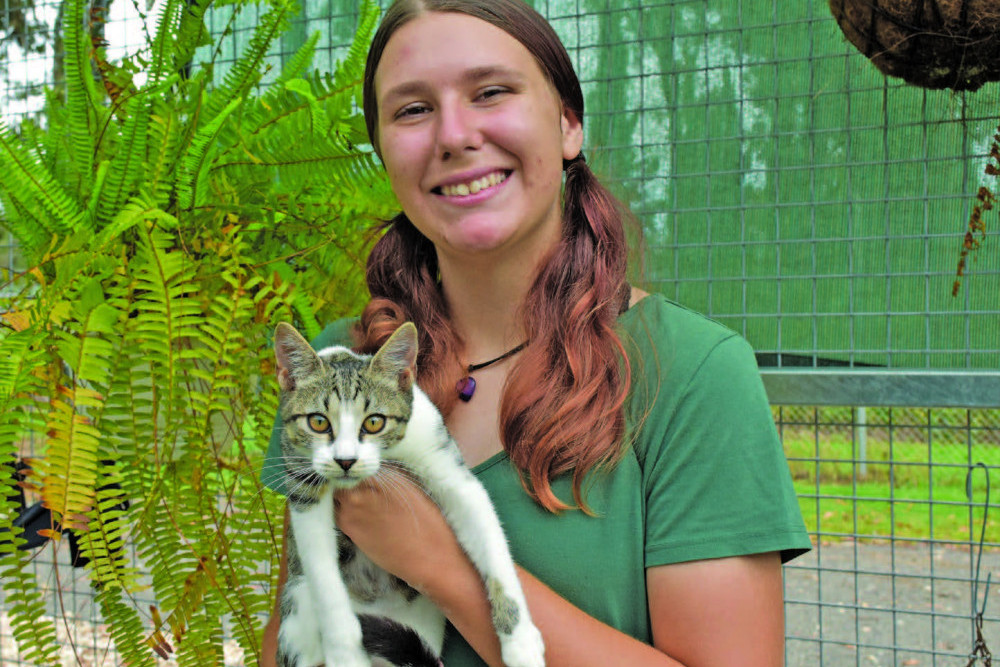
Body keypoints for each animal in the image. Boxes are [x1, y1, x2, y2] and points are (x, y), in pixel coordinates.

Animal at [272, 320, 548, 664]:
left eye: (374, 422)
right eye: (318, 422)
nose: (346, 460)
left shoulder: (443, 460)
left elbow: (491, 543)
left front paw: (520, 640)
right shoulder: (303, 487)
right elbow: (322, 574)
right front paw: (344, 650)